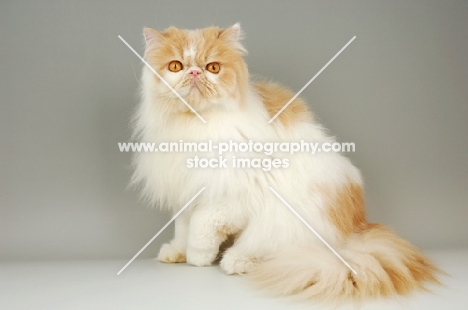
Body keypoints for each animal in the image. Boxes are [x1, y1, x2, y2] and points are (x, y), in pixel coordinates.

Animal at [130, 23, 440, 302]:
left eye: (213, 68)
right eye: (175, 66)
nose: (194, 72)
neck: (193, 125)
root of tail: (356, 231)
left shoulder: (232, 192)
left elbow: (202, 224)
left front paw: (199, 256)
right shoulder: (185, 190)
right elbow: (183, 227)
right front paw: (178, 252)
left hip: (283, 220)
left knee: (268, 249)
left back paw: (236, 260)